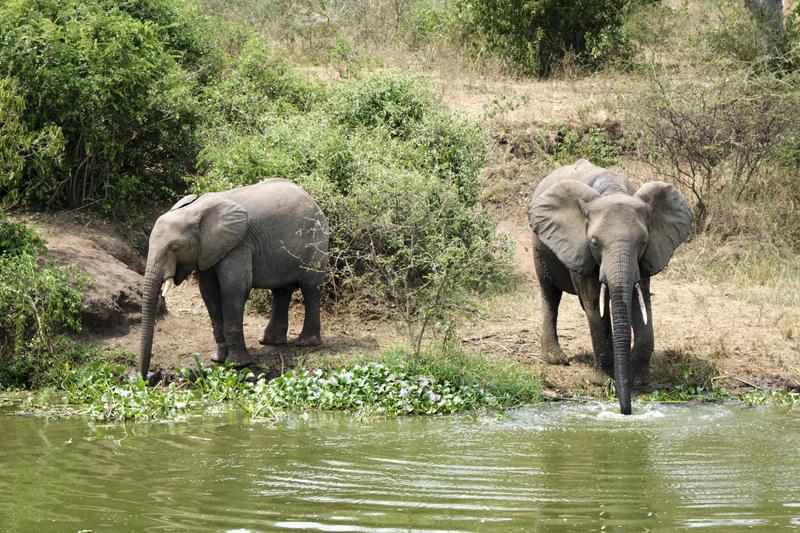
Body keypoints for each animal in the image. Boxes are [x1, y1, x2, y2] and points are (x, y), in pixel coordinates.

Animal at [138, 180, 328, 378]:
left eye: (174, 248)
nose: (146, 378)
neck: (195, 211)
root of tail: (310, 197)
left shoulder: (238, 245)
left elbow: (234, 289)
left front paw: (237, 364)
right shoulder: (208, 251)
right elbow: (209, 293)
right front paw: (218, 359)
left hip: (315, 239)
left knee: (310, 287)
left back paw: (306, 343)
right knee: (281, 291)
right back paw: (270, 342)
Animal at [528, 160, 692, 414]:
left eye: (642, 243)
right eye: (595, 243)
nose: (626, 411)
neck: (613, 190)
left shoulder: (646, 257)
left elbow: (640, 304)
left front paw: (638, 380)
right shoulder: (580, 248)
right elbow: (595, 306)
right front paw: (605, 382)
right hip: (540, 248)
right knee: (550, 295)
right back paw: (555, 359)